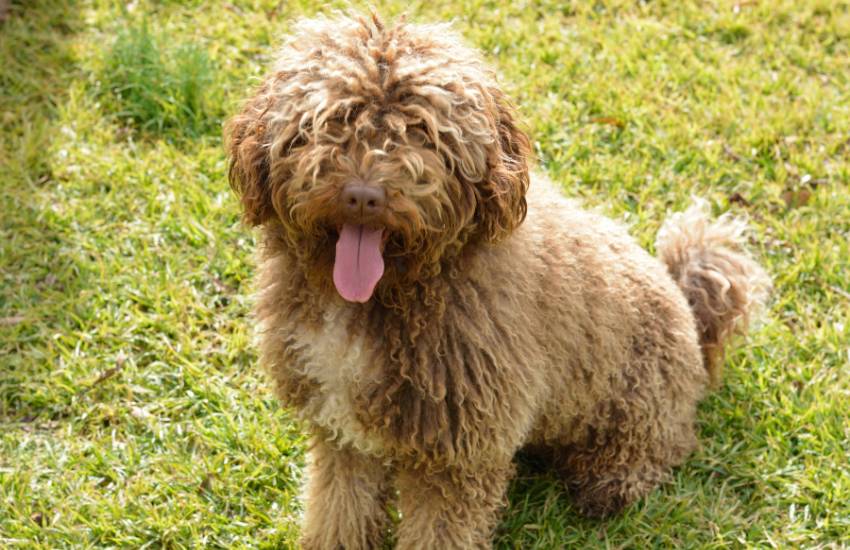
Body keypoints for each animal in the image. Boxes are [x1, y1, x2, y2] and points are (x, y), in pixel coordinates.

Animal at [224, 12, 768, 550]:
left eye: (420, 130)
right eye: (333, 120)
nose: (363, 196)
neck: (388, 294)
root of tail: (688, 308)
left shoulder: (457, 454)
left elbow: (438, 531)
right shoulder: (342, 430)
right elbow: (340, 508)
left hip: (633, 408)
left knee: (661, 450)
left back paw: (610, 486)